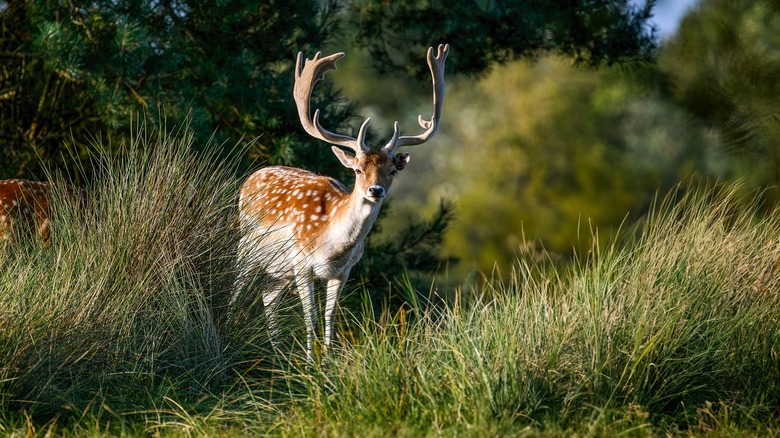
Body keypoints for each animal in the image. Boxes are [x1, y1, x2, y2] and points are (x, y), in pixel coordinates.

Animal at [232, 43, 448, 360]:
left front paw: (328, 362)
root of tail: (252, 176)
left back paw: (278, 355)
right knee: (237, 290)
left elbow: (329, 319)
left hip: (278, 272)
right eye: (357, 169)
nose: (375, 190)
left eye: (392, 170)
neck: (332, 247)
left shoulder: (343, 271)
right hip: (247, 247)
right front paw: (310, 365)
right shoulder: (302, 264)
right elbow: (309, 320)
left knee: (267, 296)